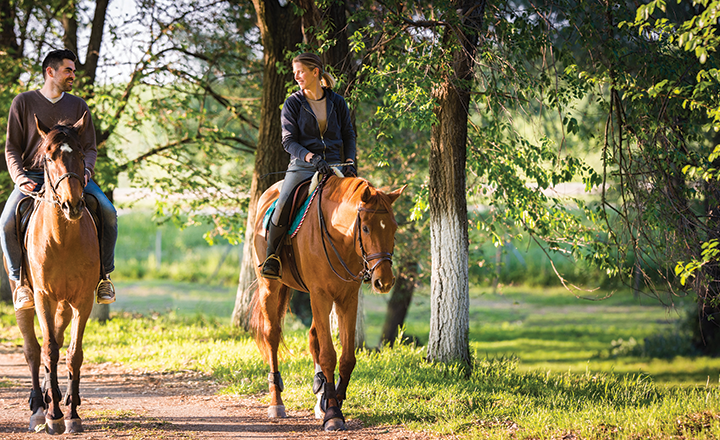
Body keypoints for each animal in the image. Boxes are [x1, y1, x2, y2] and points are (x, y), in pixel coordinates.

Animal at [10, 113, 100, 434]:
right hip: (24, 299)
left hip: (64, 304)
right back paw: (39, 406)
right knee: (33, 350)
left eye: (81, 154)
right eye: (48, 157)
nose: (72, 205)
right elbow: (47, 350)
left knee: (59, 341)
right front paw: (53, 416)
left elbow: (73, 353)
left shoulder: (82, 301)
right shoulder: (43, 298)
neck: (62, 239)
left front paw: (71, 414)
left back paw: (56, 395)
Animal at [249, 174, 404, 430]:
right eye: (365, 228)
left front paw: (333, 400)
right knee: (272, 336)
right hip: (270, 287)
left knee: (313, 338)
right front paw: (332, 413)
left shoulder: (347, 299)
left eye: (393, 228)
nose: (384, 281)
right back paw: (276, 403)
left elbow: (346, 358)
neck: (338, 236)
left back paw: (319, 395)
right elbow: (329, 355)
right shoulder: (320, 295)